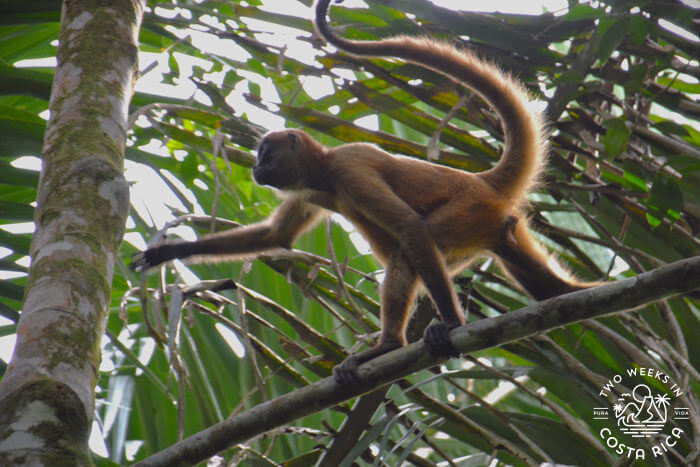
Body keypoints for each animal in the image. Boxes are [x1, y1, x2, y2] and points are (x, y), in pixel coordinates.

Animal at [133, 0, 596, 388]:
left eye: (265, 154)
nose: (256, 168)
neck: (325, 175)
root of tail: (482, 180)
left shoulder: (349, 168)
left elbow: (407, 226)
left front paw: (452, 324)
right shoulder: (309, 191)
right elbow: (275, 238)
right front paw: (167, 252)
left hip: (467, 211)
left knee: (409, 249)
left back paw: (393, 343)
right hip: (496, 227)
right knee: (544, 285)